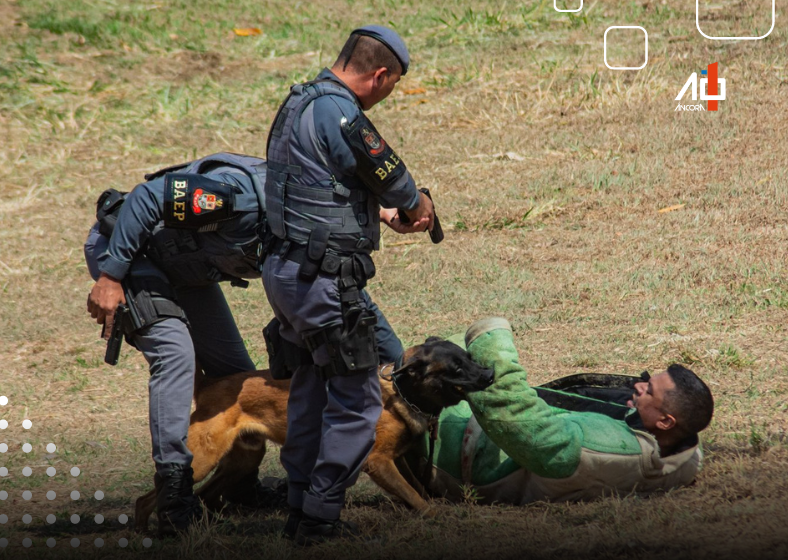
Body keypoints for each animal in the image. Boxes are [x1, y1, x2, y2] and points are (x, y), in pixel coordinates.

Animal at [135, 340, 492, 532]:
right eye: (455, 369)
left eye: (469, 358)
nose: (489, 374)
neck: (400, 392)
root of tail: (208, 386)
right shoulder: (378, 462)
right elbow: (415, 495)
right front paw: (436, 514)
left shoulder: (397, 458)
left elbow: (415, 487)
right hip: (202, 460)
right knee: (147, 499)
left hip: (241, 459)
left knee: (206, 495)